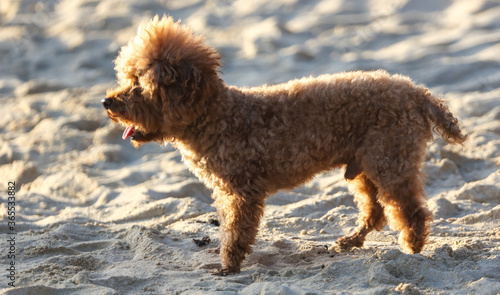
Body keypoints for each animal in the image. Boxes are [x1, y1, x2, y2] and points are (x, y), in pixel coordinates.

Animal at [102, 15, 468, 276]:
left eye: (139, 85)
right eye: (128, 78)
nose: (107, 102)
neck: (216, 116)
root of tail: (418, 93)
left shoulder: (242, 192)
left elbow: (236, 232)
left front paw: (228, 267)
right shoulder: (227, 192)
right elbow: (230, 229)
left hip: (390, 160)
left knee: (411, 210)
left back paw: (413, 248)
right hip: (366, 165)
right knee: (375, 210)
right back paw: (352, 241)